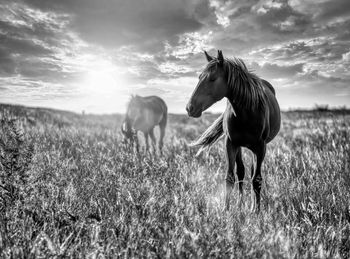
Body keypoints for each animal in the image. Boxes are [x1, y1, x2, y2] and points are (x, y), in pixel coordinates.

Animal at [186, 49, 282, 212]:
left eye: (212, 78)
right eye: (199, 77)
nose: (190, 107)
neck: (247, 112)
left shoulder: (261, 147)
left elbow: (257, 180)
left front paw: (256, 211)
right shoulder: (230, 144)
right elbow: (231, 177)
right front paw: (226, 210)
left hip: (255, 149)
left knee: (252, 173)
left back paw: (251, 205)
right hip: (239, 146)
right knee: (241, 172)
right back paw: (240, 204)